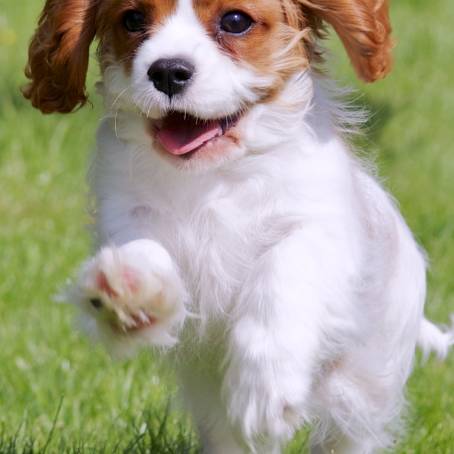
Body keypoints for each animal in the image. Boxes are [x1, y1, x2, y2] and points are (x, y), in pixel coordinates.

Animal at [24, 0, 454, 452]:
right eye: (133, 20)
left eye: (235, 21)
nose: (167, 71)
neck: (213, 175)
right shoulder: (126, 210)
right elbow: (143, 247)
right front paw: (129, 288)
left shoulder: (318, 224)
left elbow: (280, 270)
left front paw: (266, 387)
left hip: (360, 388)